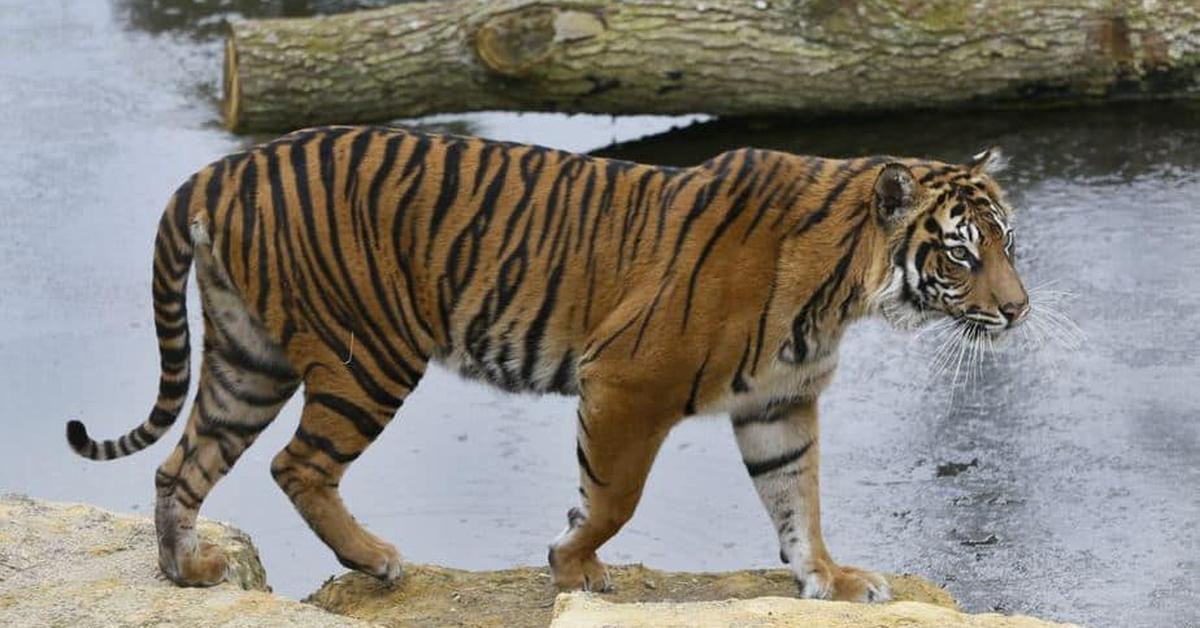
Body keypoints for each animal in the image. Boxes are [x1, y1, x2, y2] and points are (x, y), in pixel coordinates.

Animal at [65, 125, 1027, 602]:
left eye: (1009, 243)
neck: (843, 289)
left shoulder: (780, 403)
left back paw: (188, 574)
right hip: (366, 352)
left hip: (248, 358)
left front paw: (828, 577)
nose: (1018, 309)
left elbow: (797, 497)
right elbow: (614, 496)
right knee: (296, 465)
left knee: (182, 465)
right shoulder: (629, 380)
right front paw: (573, 562)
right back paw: (377, 563)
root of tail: (219, 169)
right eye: (961, 253)